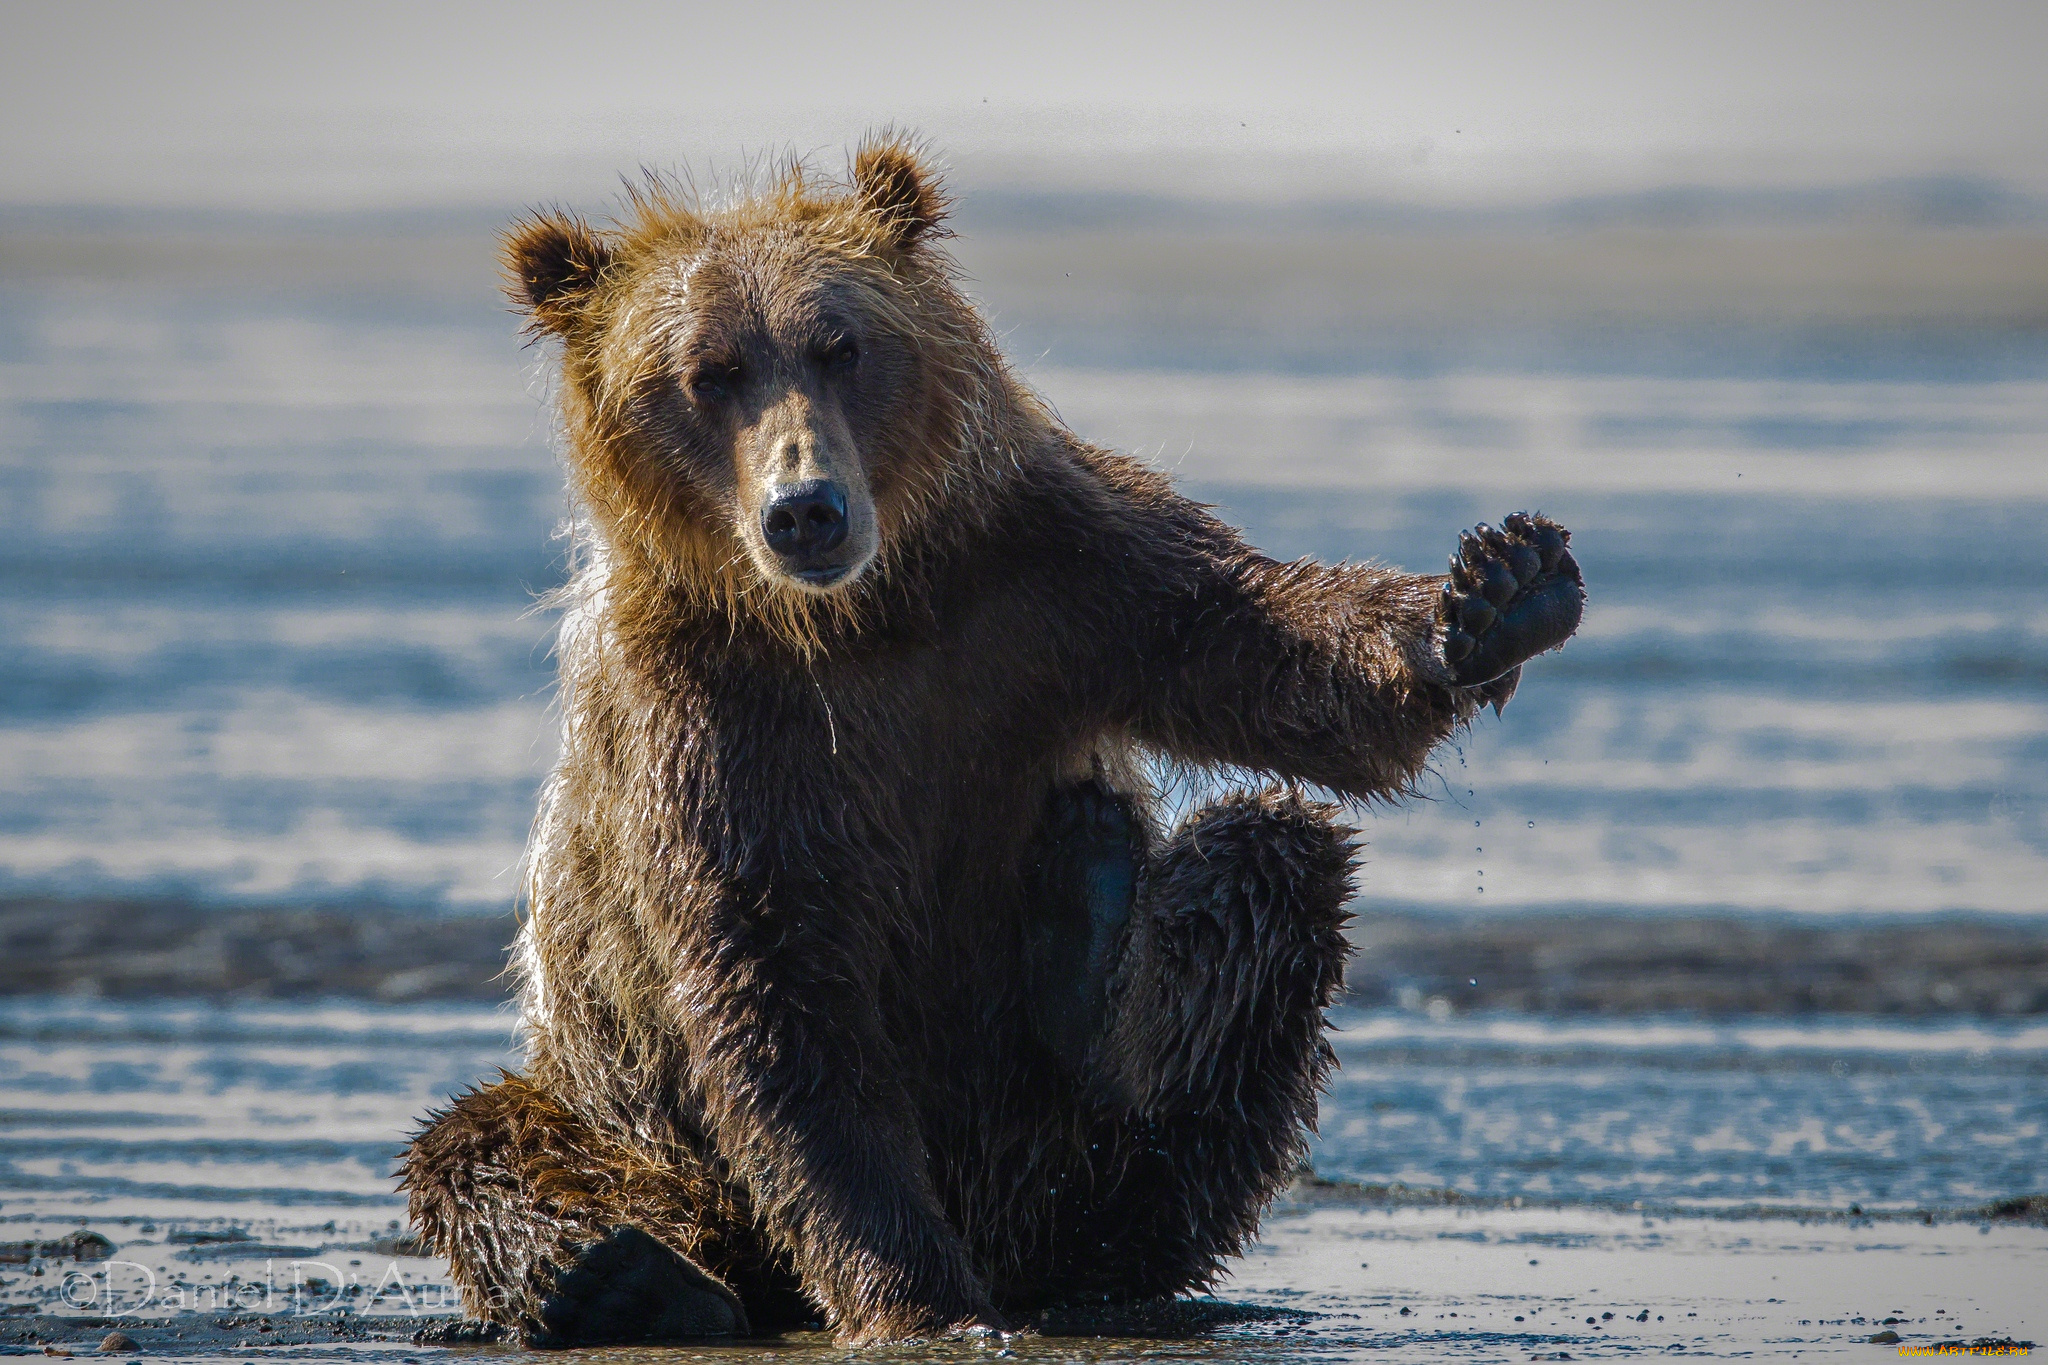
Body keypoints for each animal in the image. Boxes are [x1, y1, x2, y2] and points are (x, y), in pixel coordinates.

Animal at [399, 133, 1581, 1350]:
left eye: (841, 344)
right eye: (706, 372)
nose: (805, 506)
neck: (865, 616)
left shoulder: (1057, 578)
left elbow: (1277, 659)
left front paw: (1494, 594)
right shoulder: (707, 718)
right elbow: (775, 1000)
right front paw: (912, 1294)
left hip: (1082, 1152)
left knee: (1267, 873)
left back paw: (1086, 924)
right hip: (615, 1103)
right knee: (483, 1150)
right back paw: (626, 1274)